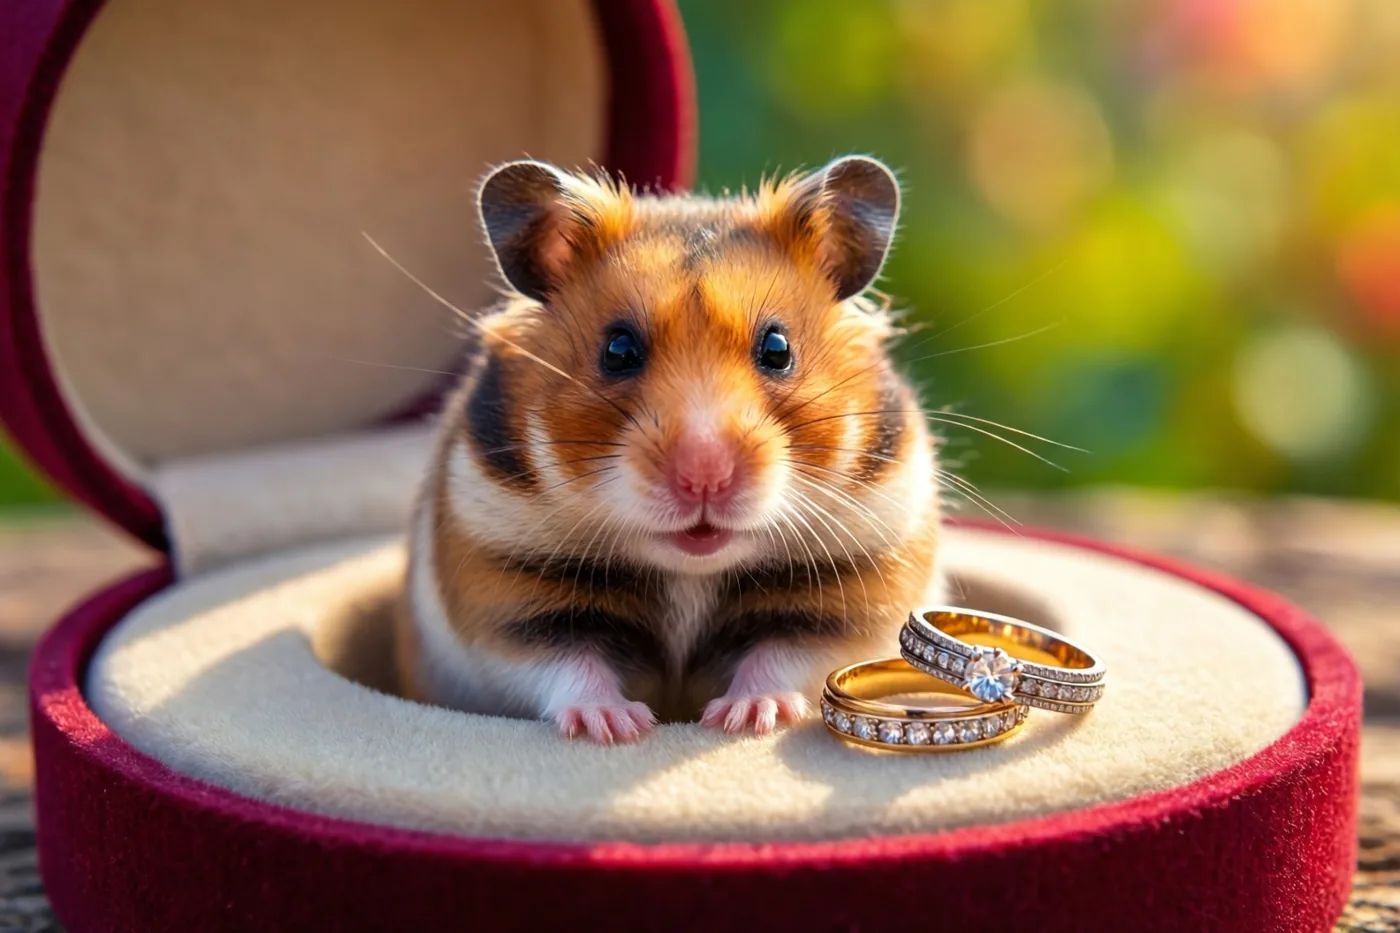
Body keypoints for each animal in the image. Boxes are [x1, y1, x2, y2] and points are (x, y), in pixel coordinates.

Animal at [396, 155, 940, 743]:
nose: (704, 477)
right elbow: (565, 663)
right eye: (617, 350)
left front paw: (747, 718)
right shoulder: (503, 583)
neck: (689, 571)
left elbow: (784, 655)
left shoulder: (857, 583)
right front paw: (614, 727)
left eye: (777, 348)